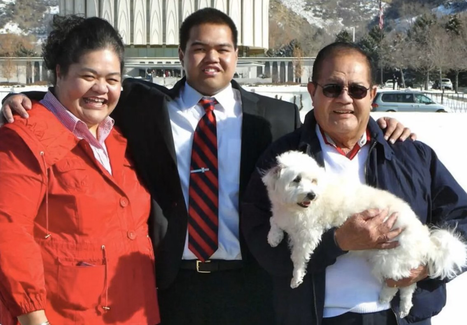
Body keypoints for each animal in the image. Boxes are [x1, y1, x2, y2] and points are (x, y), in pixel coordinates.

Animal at [264, 149, 467, 316]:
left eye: (313, 181)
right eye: (296, 180)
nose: (312, 195)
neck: (293, 207)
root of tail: (424, 240)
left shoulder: (308, 233)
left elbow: (298, 257)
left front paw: (297, 277)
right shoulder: (283, 215)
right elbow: (274, 220)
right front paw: (274, 236)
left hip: (388, 258)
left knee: (401, 283)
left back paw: (388, 298)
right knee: (406, 285)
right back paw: (403, 306)